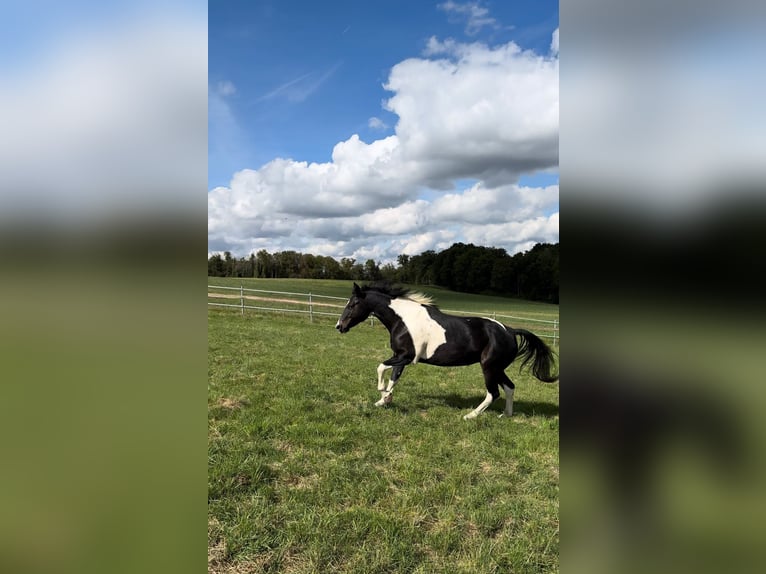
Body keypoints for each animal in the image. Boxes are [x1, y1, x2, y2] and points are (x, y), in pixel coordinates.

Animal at [336, 284, 560, 424]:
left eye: (353, 304)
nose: (340, 326)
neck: (403, 320)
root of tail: (510, 331)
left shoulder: (406, 357)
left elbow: (381, 367)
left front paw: (382, 392)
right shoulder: (400, 356)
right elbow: (394, 377)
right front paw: (384, 400)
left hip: (489, 367)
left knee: (493, 393)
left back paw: (470, 416)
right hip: (497, 368)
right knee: (510, 387)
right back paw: (506, 415)